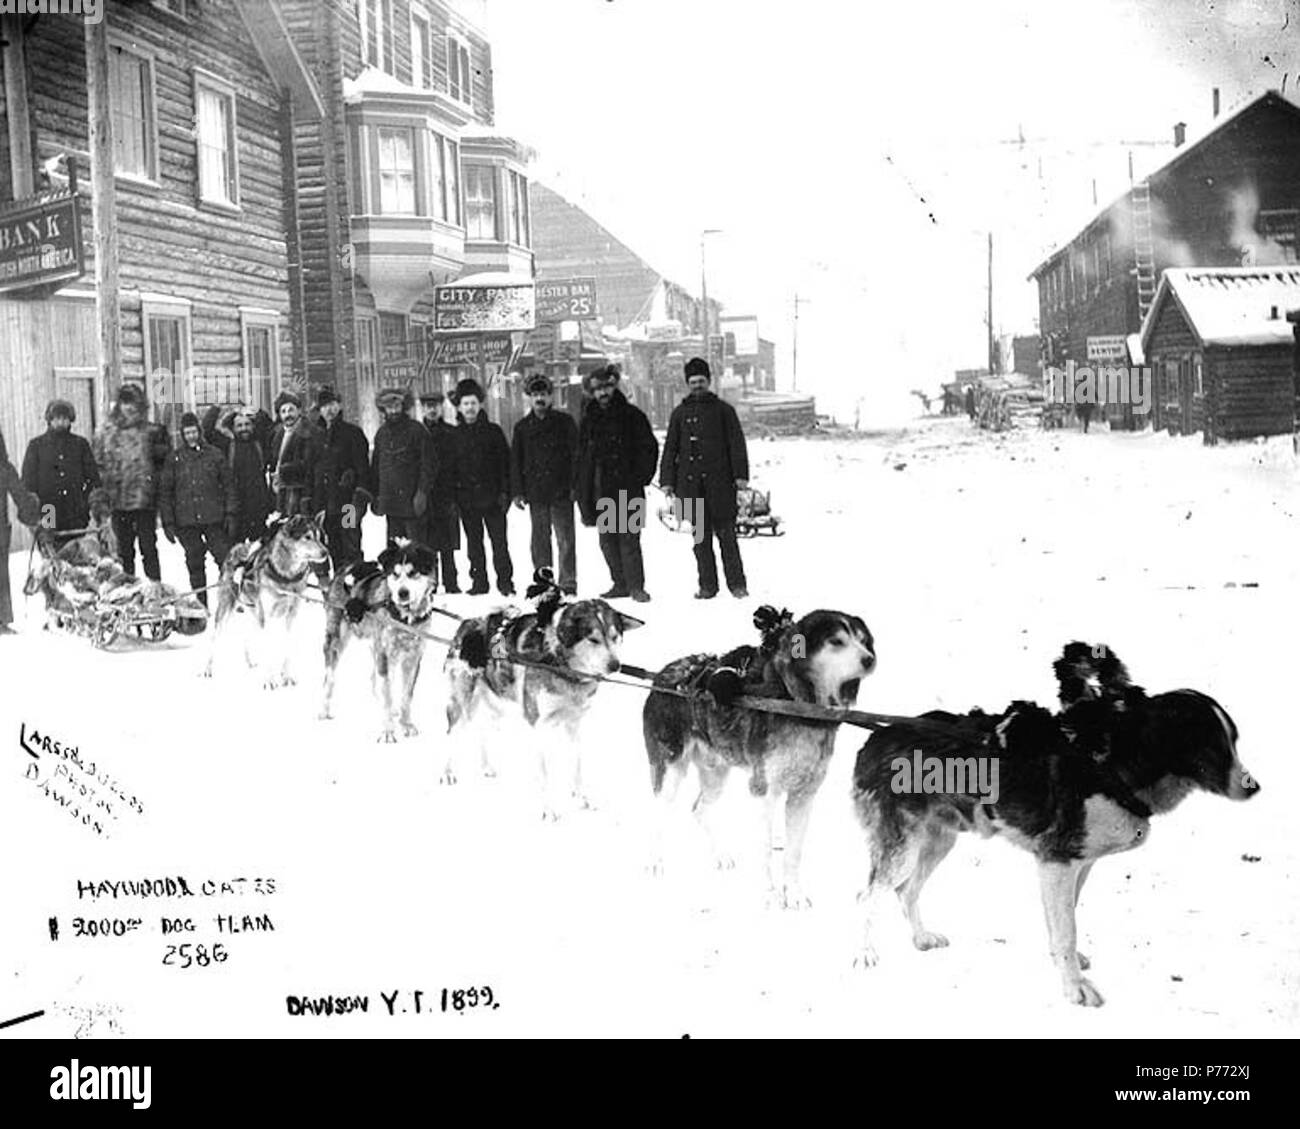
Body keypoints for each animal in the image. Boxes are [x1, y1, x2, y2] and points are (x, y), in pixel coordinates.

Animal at [200, 512, 330, 686]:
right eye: (307, 537)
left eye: (320, 537)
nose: (325, 552)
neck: (286, 577)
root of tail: (237, 548)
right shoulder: (266, 617)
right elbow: (268, 649)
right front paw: (269, 680)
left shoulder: (291, 615)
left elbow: (287, 646)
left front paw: (287, 676)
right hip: (226, 612)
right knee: (214, 641)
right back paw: (207, 669)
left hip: (255, 613)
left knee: (247, 637)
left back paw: (250, 661)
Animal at [319, 543, 441, 743]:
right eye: (395, 574)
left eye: (413, 573)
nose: (402, 593)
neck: (405, 618)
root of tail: (345, 567)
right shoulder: (385, 654)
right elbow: (388, 695)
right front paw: (388, 731)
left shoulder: (413, 658)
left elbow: (406, 696)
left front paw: (406, 724)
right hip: (337, 641)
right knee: (329, 678)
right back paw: (323, 709)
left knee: (375, 680)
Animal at [441, 577, 639, 816]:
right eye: (593, 639)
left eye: (614, 637)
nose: (615, 665)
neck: (560, 664)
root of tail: (467, 623)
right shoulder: (538, 726)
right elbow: (545, 776)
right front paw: (549, 810)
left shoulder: (574, 724)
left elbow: (577, 766)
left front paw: (582, 798)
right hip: (460, 703)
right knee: (451, 734)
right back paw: (447, 773)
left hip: (496, 706)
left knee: (483, 732)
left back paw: (486, 767)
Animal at [647, 608, 878, 910]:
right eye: (837, 641)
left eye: (863, 640)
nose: (870, 658)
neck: (795, 704)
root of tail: (664, 675)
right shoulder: (763, 790)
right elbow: (766, 850)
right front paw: (770, 896)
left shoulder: (804, 794)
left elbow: (793, 852)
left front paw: (794, 894)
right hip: (670, 771)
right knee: (657, 814)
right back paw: (655, 862)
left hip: (715, 773)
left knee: (699, 809)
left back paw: (720, 855)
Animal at [852, 645, 1258, 1004]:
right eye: (1211, 746)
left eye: (1234, 741)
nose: (1254, 787)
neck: (1108, 765)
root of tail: (879, 734)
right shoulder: (1057, 862)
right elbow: (1067, 931)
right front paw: (1074, 988)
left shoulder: (1077, 865)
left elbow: (1063, 920)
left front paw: (1067, 967)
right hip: (902, 848)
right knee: (867, 896)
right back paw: (864, 954)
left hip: (937, 842)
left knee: (906, 891)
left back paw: (921, 938)